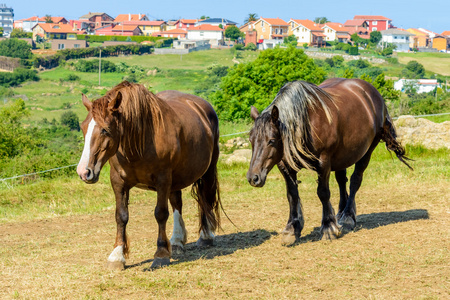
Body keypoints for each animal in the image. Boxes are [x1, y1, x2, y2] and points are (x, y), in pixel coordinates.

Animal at [76, 80, 222, 270]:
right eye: (83, 127)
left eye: (105, 130)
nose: (84, 171)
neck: (140, 141)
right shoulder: (118, 182)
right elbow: (121, 216)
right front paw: (117, 255)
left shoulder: (162, 180)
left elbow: (160, 214)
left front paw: (161, 254)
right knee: (177, 203)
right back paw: (176, 240)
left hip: (207, 171)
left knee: (205, 198)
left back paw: (206, 236)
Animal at [246, 77, 412, 244]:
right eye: (251, 140)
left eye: (271, 140)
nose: (254, 178)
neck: (307, 123)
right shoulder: (285, 165)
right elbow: (292, 195)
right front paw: (292, 228)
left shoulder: (323, 163)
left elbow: (323, 193)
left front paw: (328, 228)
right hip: (342, 157)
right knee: (341, 181)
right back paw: (340, 213)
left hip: (367, 151)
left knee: (355, 181)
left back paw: (347, 217)